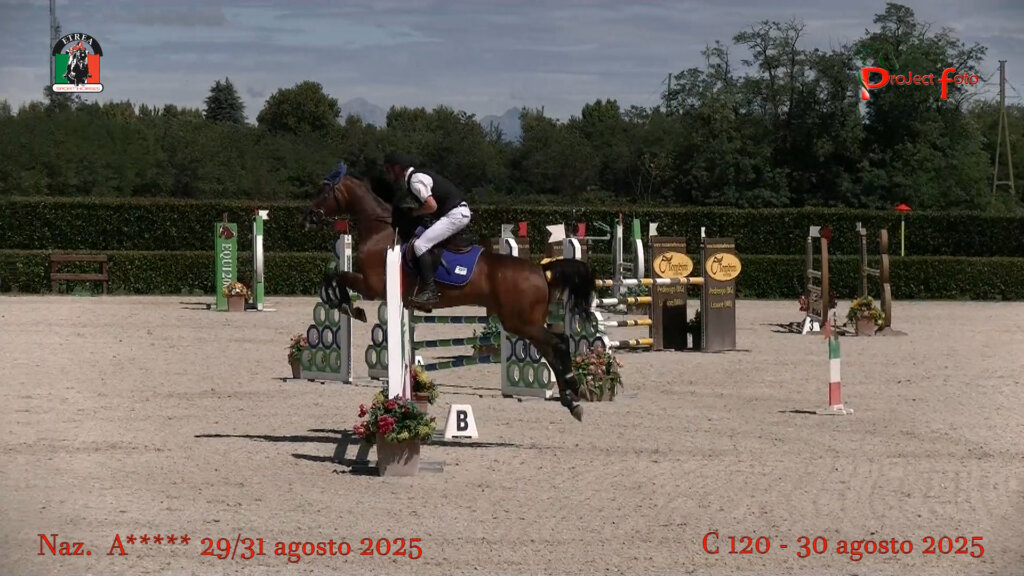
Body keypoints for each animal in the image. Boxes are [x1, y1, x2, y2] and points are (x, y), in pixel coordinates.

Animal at [301, 162, 596, 422]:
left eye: (324, 192)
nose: (308, 217)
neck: (380, 230)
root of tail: (540, 271)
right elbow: (335, 277)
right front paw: (346, 305)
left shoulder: (373, 285)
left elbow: (336, 277)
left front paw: (349, 307)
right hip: (523, 322)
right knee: (553, 347)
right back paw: (572, 399)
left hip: (520, 321)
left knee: (557, 344)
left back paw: (574, 392)